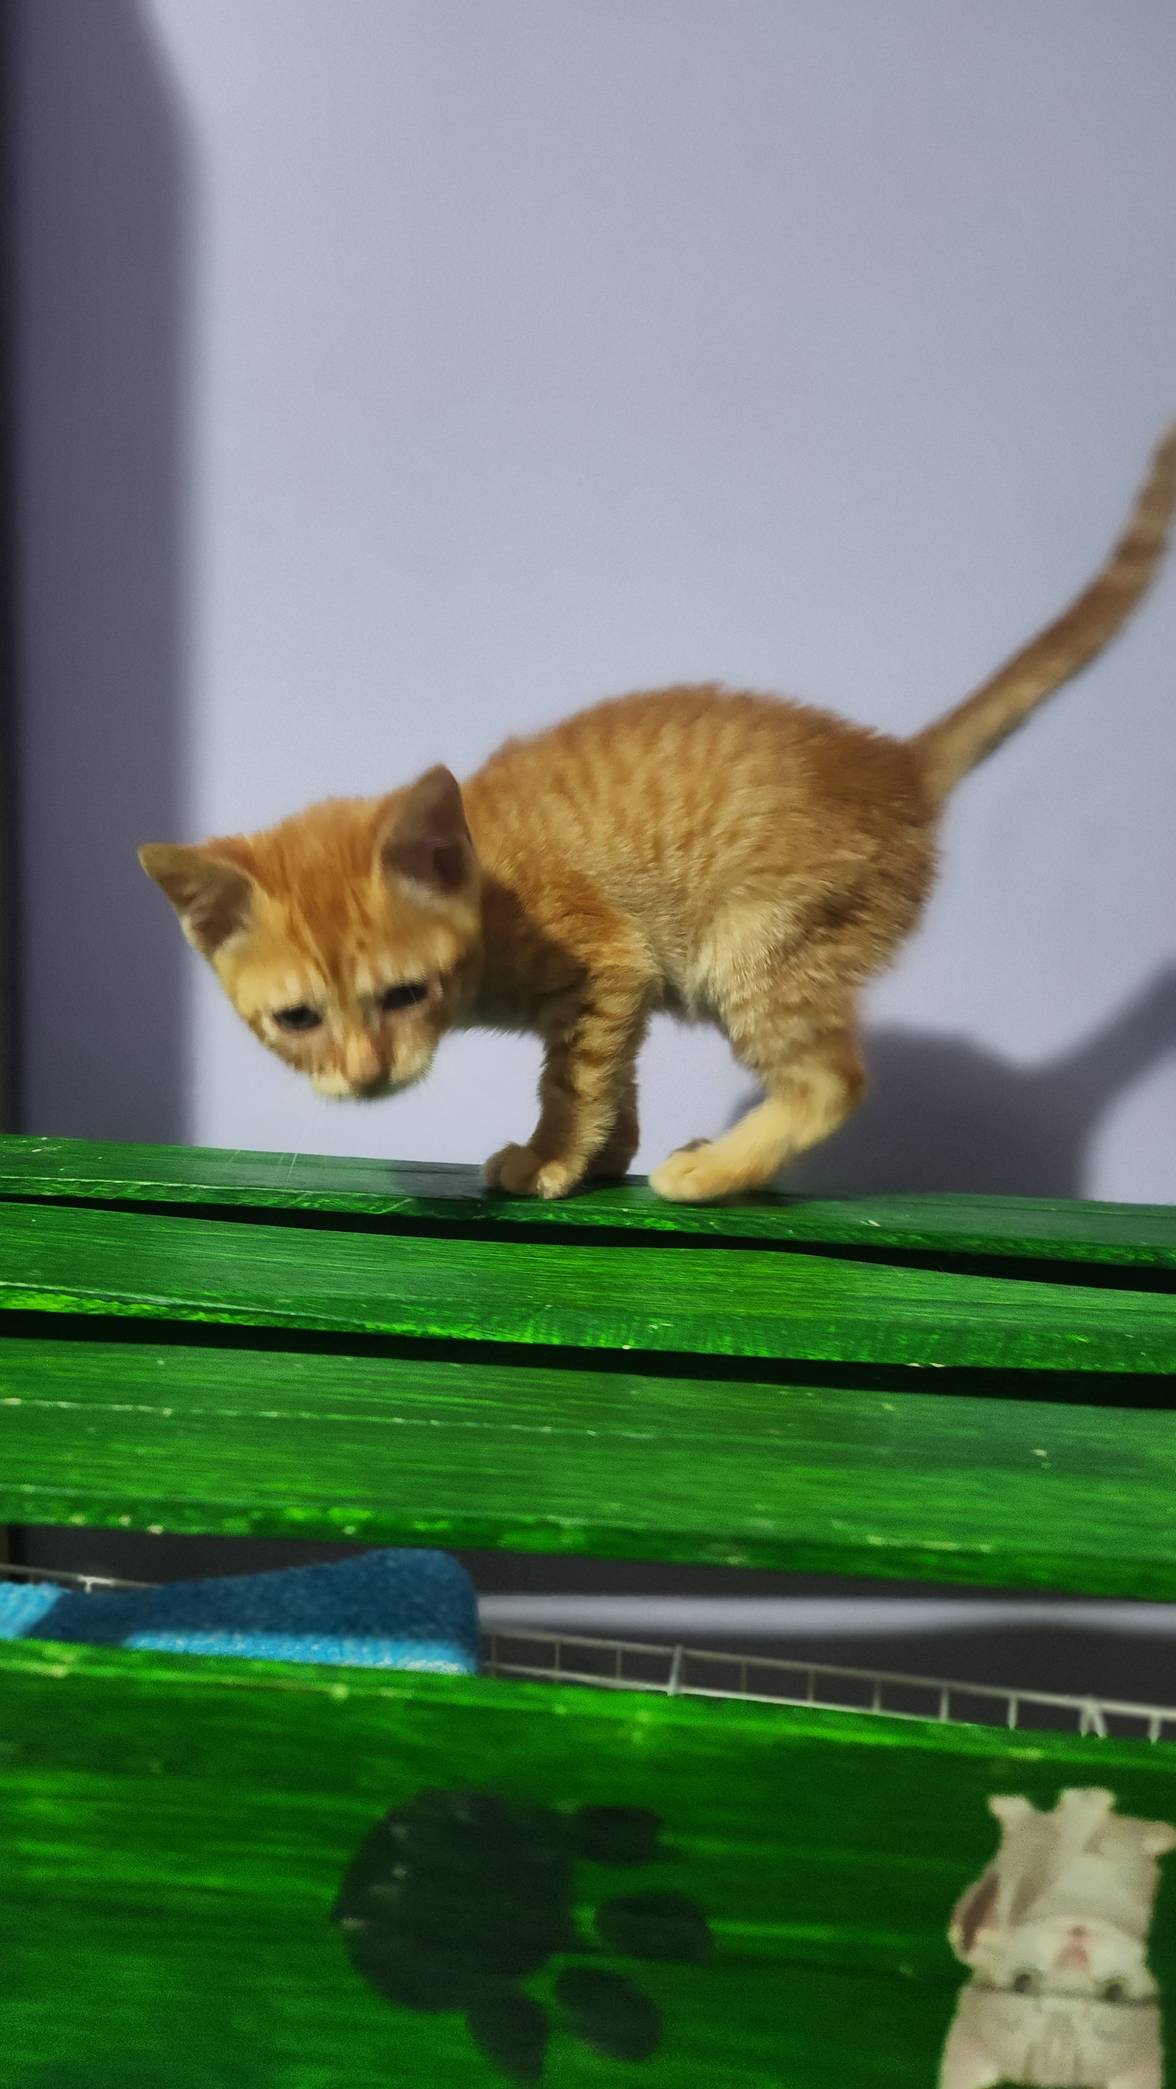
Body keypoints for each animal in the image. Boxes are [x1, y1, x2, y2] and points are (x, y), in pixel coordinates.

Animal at [140, 423, 1175, 1202]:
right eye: (298, 1019)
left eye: (403, 995)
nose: (365, 1075)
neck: (493, 881)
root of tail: (895, 762)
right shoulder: (625, 984)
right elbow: (614, 1076)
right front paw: (601, 1158)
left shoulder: (605, 958)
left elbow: (571, 1076)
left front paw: (549, 1158)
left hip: (759, 951)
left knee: (832, 1078)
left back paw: (715, 1172)